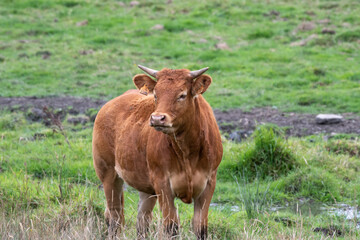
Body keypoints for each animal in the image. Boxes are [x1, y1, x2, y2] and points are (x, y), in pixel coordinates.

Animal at [93, 64, 222, 239]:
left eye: (182, 95)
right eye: (156, 94)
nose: (157, 118)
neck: (187, 153)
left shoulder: (209, 183)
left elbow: (200, 228)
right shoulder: (163, 184)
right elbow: (171, 227)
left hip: (146, 187)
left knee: (142, 219)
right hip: (108, 174)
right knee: (115, 216)